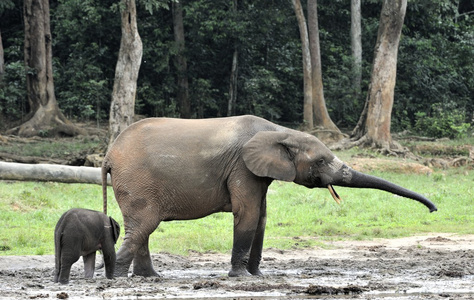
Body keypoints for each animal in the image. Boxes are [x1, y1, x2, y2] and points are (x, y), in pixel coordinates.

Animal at [103, 114, 436, 276]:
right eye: (321, 162)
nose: (433, 211)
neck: (280, 131)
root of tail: (108, 155)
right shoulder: (242, 166)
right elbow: (249, 215)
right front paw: (240, 277)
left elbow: (262, 217)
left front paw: (257, 276)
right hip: (137, 182)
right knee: (143, 226)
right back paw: (117, 278)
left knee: (143, 229)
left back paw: (150, 278)